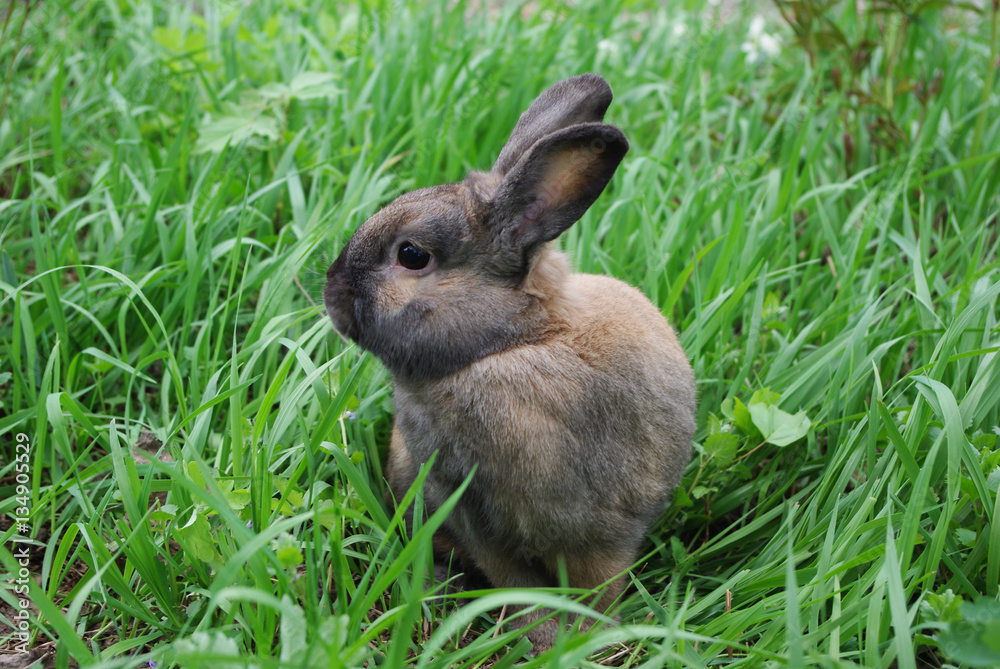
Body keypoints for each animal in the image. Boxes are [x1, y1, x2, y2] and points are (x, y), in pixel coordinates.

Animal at [324, 73, 696, 650]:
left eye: (412, 255)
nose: (331, 291)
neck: (511, 342)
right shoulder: (469, 510)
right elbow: (515, 581)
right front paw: (547, 638)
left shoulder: (601, 537)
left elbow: (595, 587)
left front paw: (578, 638)